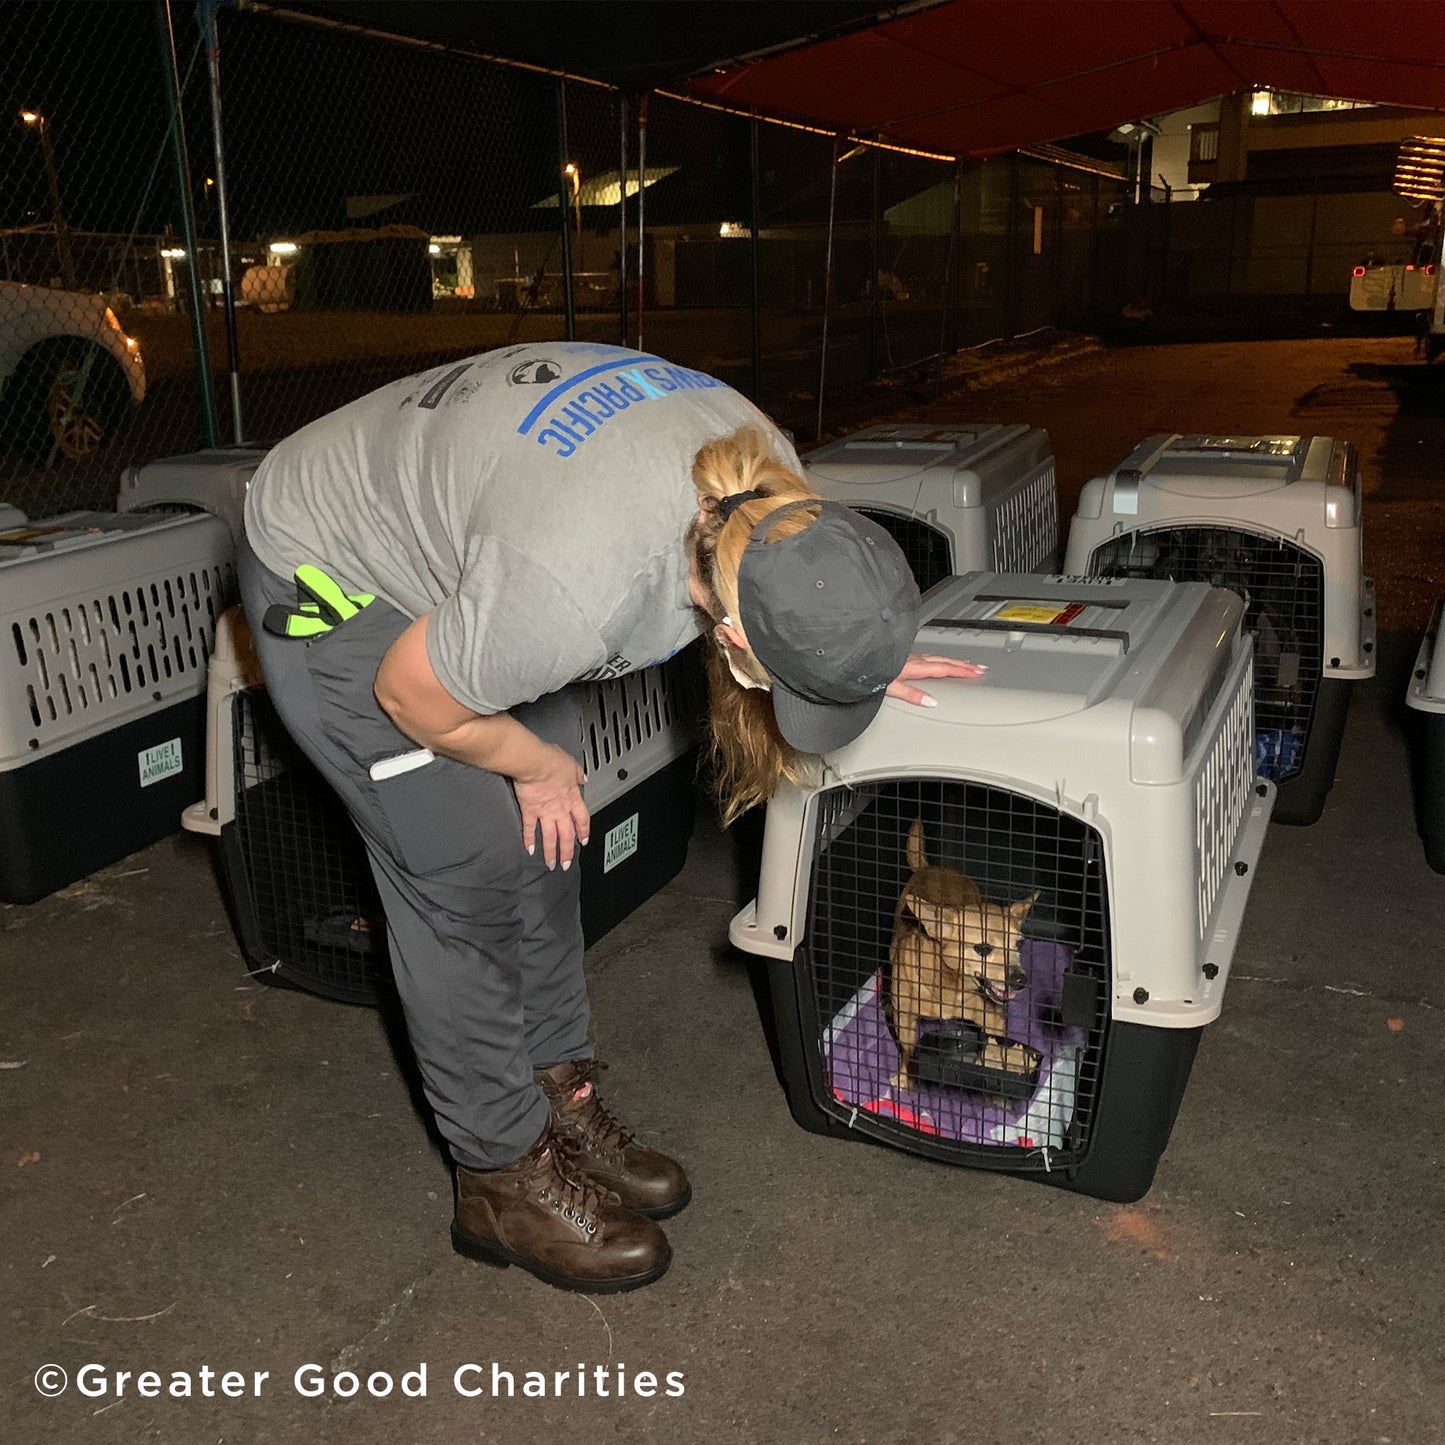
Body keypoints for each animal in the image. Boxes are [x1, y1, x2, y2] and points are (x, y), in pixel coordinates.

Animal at [890, 820, 1040, 1086]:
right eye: (983, 949)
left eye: (1018, 944)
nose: (1021, 980)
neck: (952, 985)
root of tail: (930, 866)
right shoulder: (905, 1018)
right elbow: (908, 1051)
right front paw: (905, 1078)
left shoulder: (993, 1021)